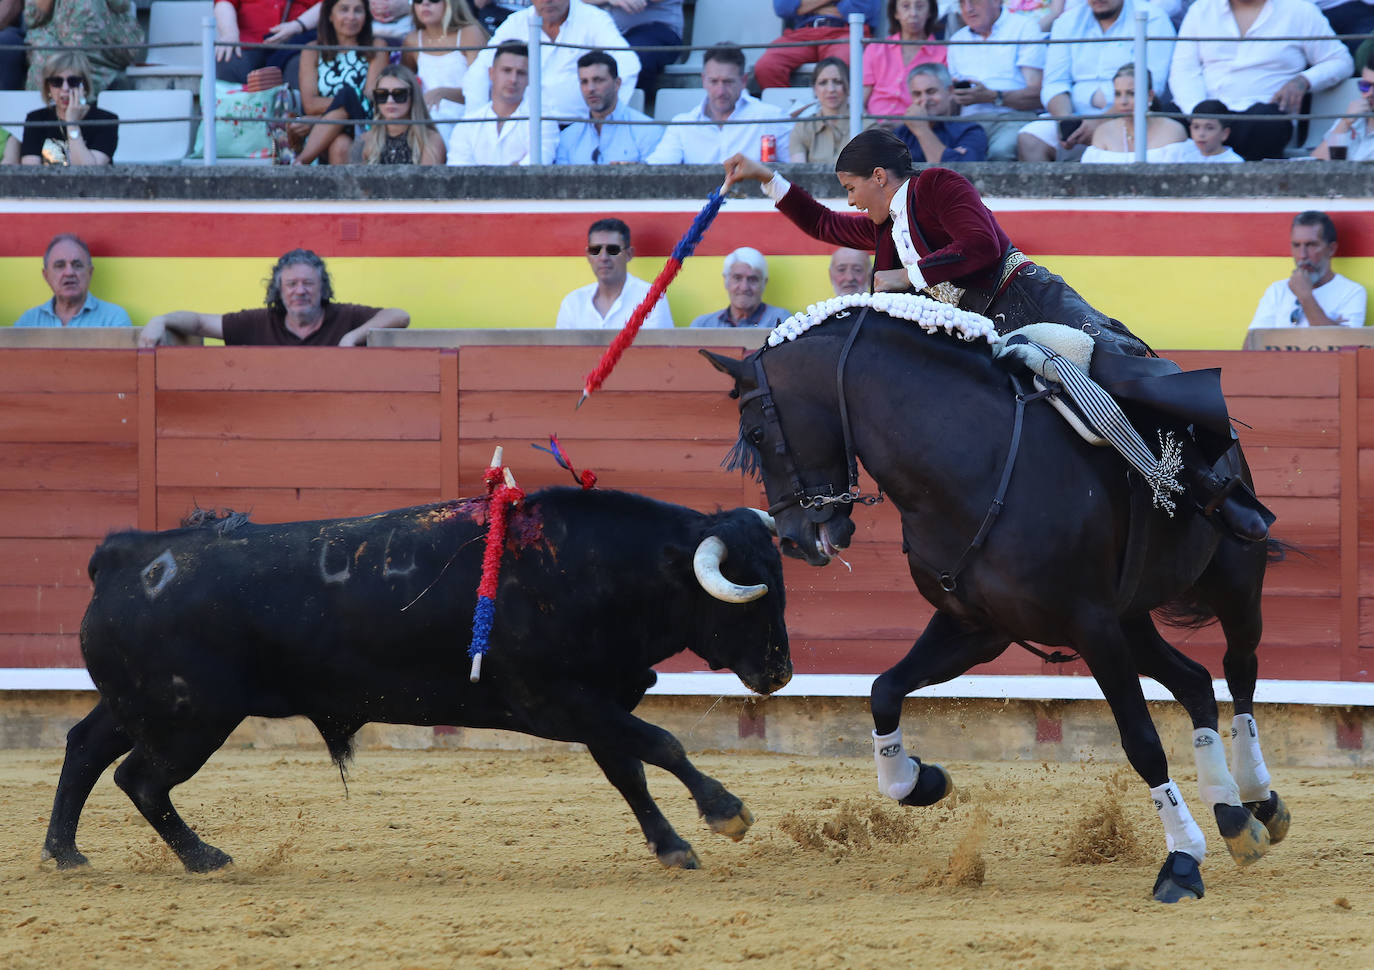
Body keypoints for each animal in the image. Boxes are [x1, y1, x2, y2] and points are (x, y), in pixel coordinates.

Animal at [40, 483, 796, 868]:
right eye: (751, 591)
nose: (780, 672)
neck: (599, 567)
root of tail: (130, 554)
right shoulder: (559, 701)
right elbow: (660, 745)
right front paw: (726, 813)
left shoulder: (598, 701)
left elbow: (630, 770)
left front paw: (673, 847)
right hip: (189, 718)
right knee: (139, 778)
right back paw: (203, 857)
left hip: (144, 705)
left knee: (84, 748)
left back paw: (64, 853)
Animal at [708, 307, 1286, 901]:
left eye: (755, 433)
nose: (795, 540)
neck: (969, 466)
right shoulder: (979, 626)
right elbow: (884, 689)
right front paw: (916, 781)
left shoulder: (1091, 624)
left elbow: (1141, 742)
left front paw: (1182, 860)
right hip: (1132, 619)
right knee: (1194, 680)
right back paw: (1230, 813)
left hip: (1235, 583)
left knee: (1239, 667)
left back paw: (1257, 798)